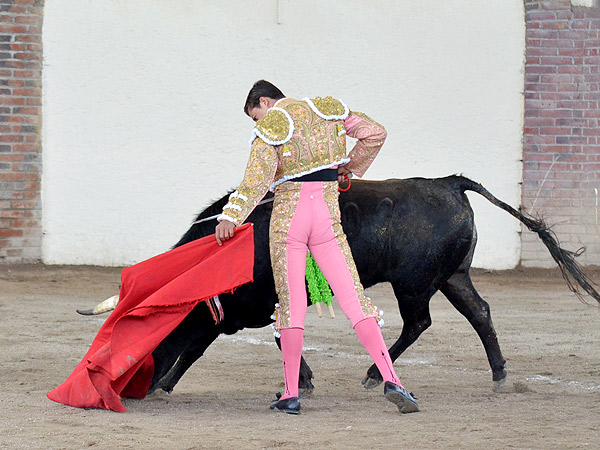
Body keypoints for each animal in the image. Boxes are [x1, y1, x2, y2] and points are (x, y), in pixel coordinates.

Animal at [142, 175, 600, 394]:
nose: (139, 386)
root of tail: (449, 182)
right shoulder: (228, 313)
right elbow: (203, 345)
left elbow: (268, 336)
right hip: (453, 277)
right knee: (480, 313)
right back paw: (500, 375)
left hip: (413, 283)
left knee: (419, 322)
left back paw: (374, 375)